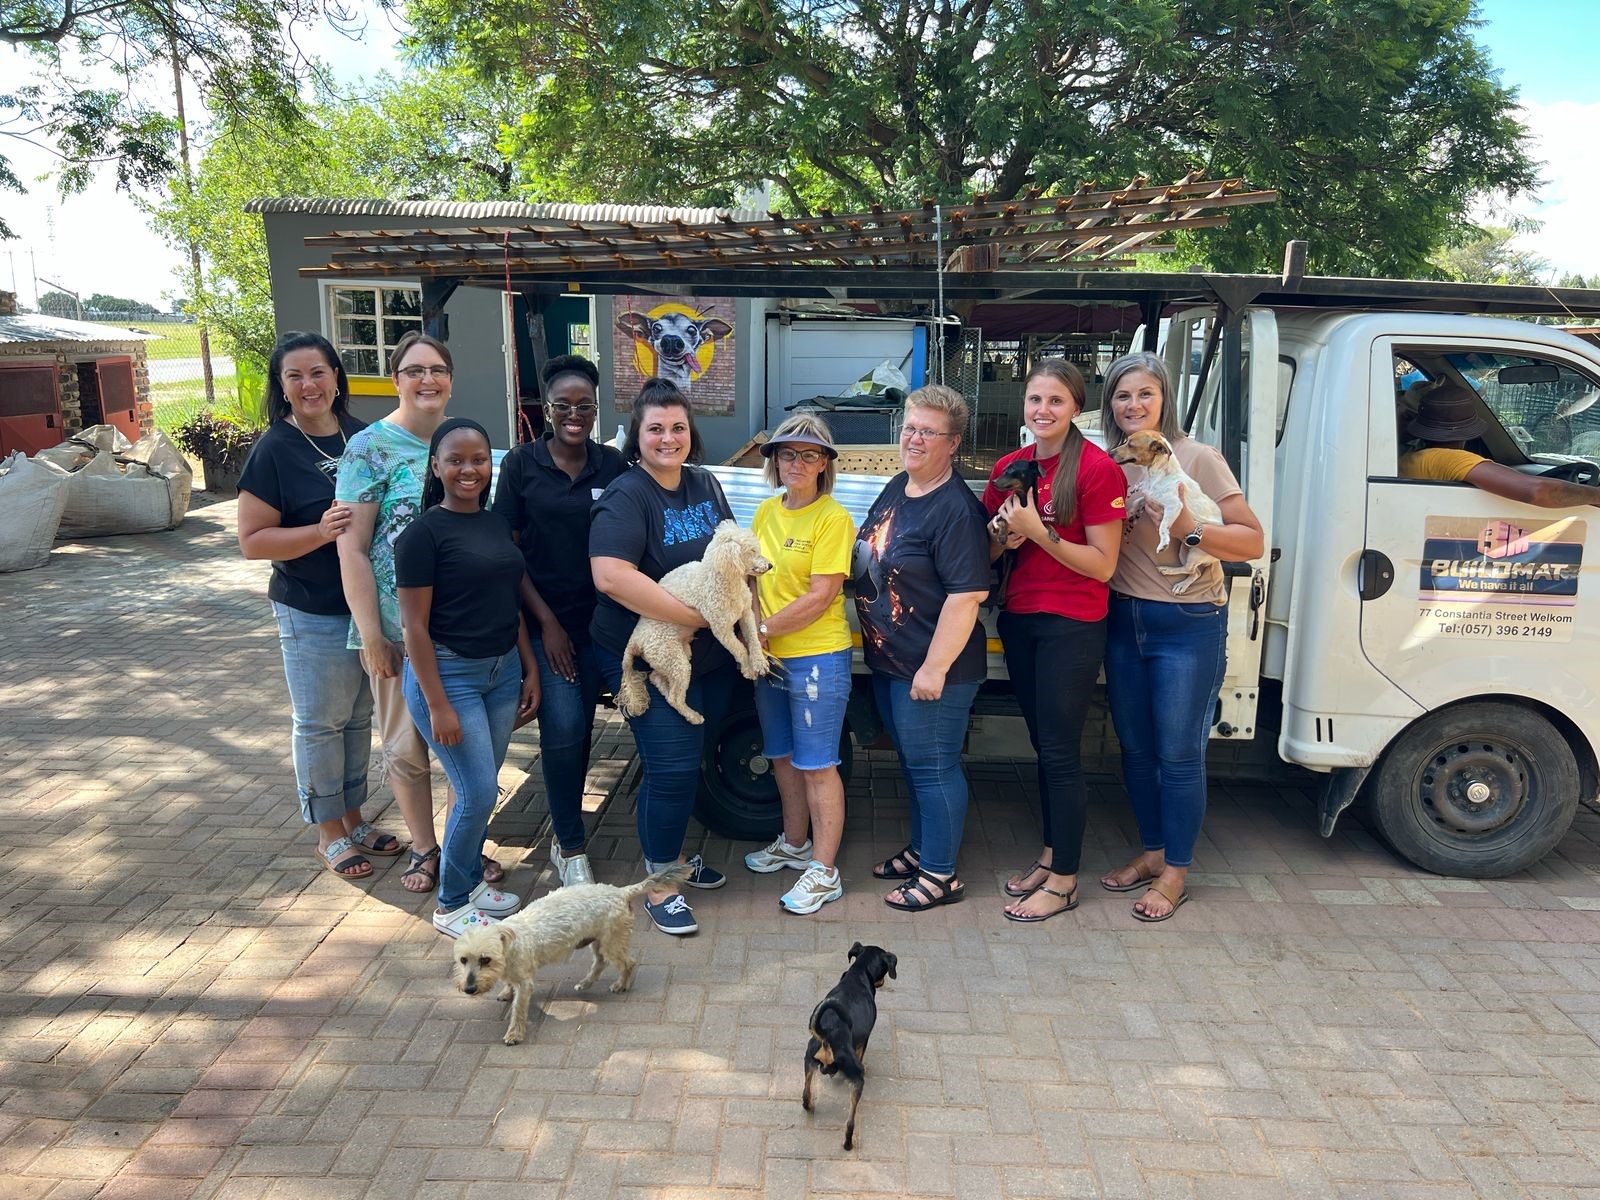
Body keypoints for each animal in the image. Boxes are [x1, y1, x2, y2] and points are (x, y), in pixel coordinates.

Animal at [452, 863, 690, 1045]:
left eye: (485, 959)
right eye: (463, 960)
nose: (469, 989)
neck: (511, 943)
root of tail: (621, 892)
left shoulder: (525, 983)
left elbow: (518, 1010)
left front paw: (514, 1033)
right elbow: (509, 986)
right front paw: (505, 992)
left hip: (611, 943)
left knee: (628, 962)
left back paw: (621, 985)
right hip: (598, 941)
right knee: (600, 963)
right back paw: (585, 983)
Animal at [617, 520, 772, 724]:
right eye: (752, 551)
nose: (770, 565)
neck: (725, 580)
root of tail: (635, 640)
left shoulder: (746, 613)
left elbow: (752, 638)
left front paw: (759, 662)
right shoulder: (721, 628)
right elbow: (738, 648)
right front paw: (747, 668)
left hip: (670, 658)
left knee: (656, 678)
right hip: (673, 659)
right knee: (674, 697)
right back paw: (693, 716)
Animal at [802, 942, 897, 1150]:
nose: (883, 983)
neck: (858, 973)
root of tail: (828, 1036)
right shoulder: (865, 1039)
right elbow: (862, 1052)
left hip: (808, 1061)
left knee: (805, 1096)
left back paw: (811, 1105)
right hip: (856, 1080)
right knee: (850, 1122)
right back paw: (848, 1143)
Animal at [1109, 430, 1224, 595]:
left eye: (1131, 444)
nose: (1109, 453)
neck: (1158, 474)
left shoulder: (1173, 506)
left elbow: (1163, 526)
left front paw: (1163, 543)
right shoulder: (1150, 498)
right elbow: (1138, 502)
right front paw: (1129, 513)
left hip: (1195, 553)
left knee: (1190, 569)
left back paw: (1172, 575)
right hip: (1184, 551)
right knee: (1195, 573)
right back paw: (1176, 579)